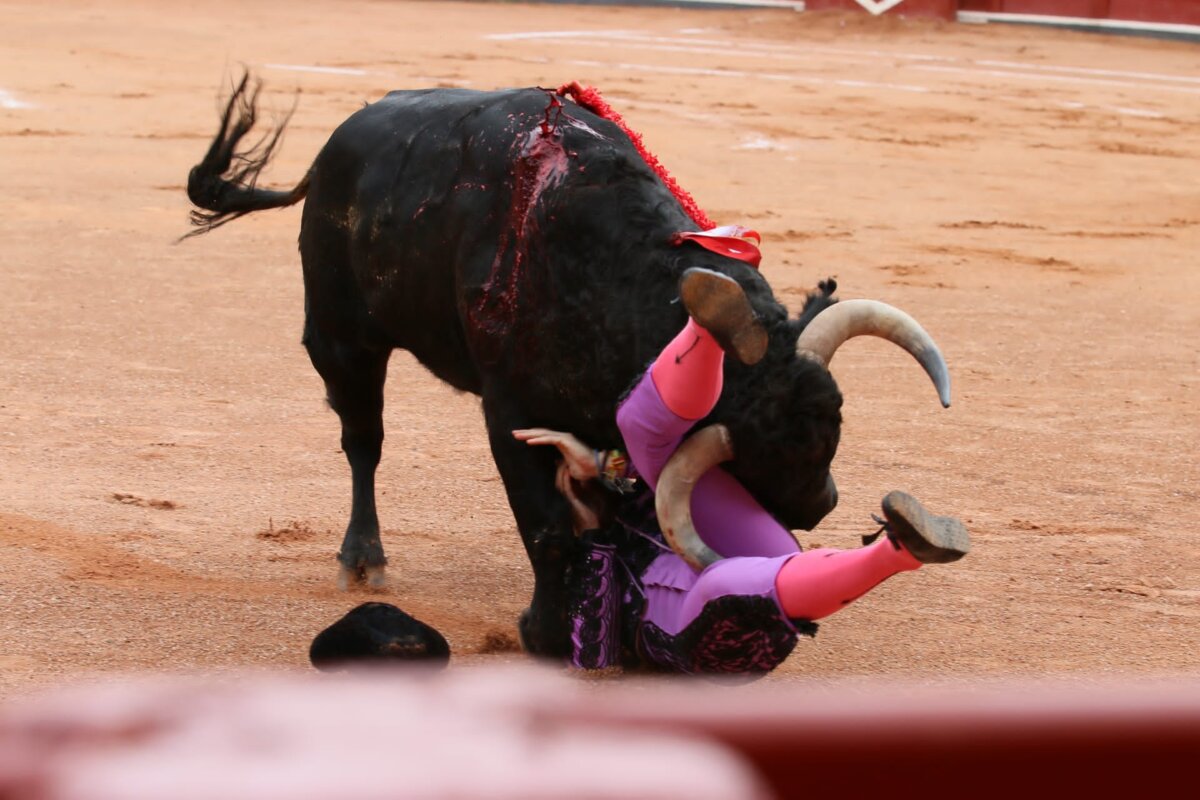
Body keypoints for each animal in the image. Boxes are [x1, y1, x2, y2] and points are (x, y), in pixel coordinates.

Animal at [182, 77, 945, 662]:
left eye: (835, 422)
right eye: (742, 473)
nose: (822, 504)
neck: (609, 267)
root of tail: (333, 149)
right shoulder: (511, 414)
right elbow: (548, 527)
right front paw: (544, 634)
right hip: (342, 339)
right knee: (362, 441)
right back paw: (362, 558)